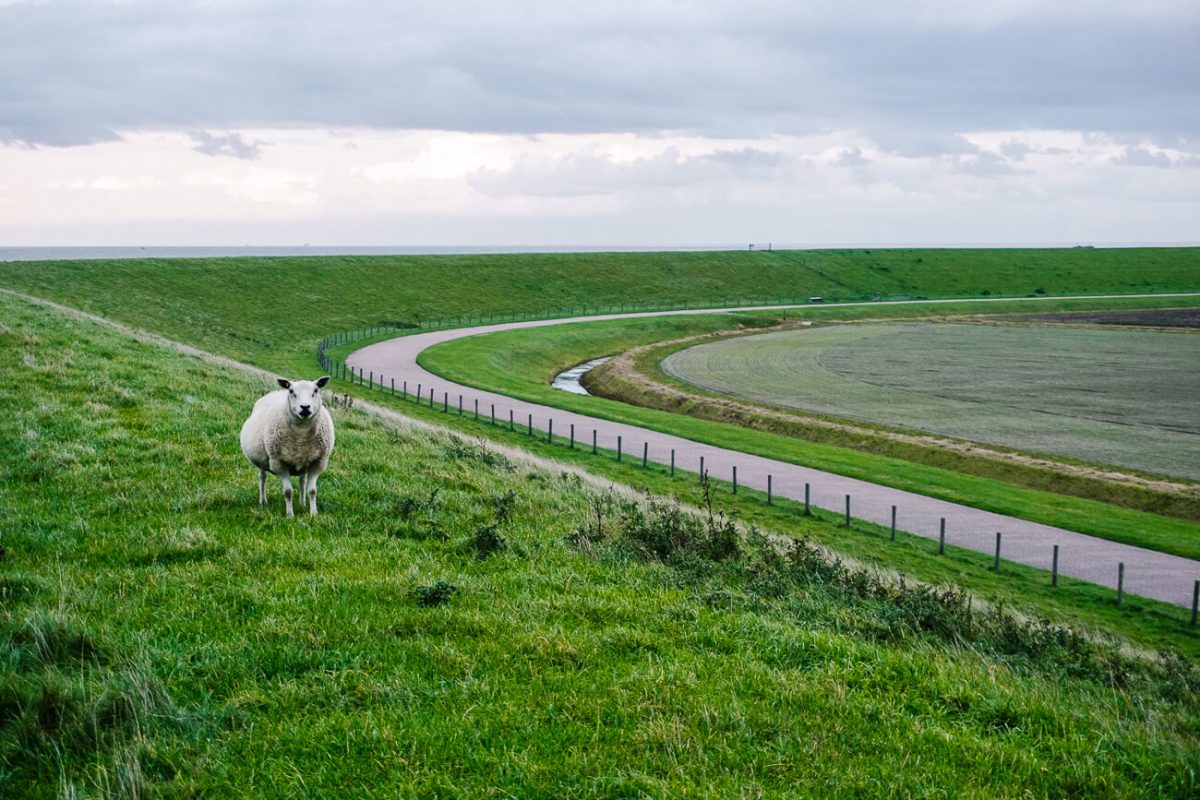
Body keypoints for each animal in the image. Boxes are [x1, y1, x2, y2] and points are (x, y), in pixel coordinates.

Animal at [238, 376, 336, 515]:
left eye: (316, 390)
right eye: (291, 391)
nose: (305, 407)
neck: (301, 434)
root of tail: (276, 391)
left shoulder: (318, 462)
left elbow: (312, 491)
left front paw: (313, 514)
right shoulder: (279, 463)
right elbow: (288, 492)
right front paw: (290, 515)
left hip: (304, 460)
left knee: (302, 481)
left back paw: (302, 503)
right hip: (263, 459)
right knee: (262, 477)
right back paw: (263, 501)